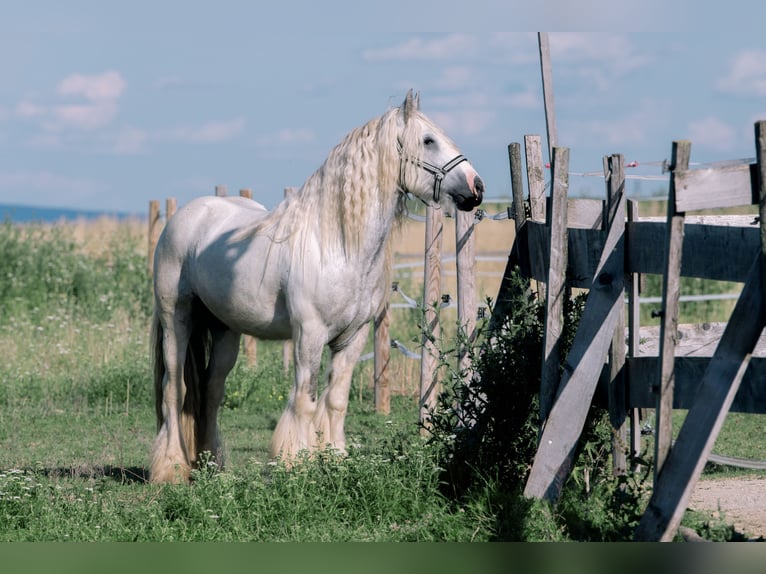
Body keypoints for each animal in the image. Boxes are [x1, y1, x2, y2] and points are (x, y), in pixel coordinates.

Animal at [150, 91, 486, 486]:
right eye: (429, 140)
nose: (477, 187)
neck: (337, 245)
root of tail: (187, 215)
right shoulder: (309, 335)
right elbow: (305, 400)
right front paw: (296, 463)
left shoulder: (354, 337)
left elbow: (336, 401)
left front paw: (335, 460)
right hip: (177, 318)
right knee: (175, 389)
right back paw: (171, 468)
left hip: (224, 331)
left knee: (211, 392)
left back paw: (208, 465)